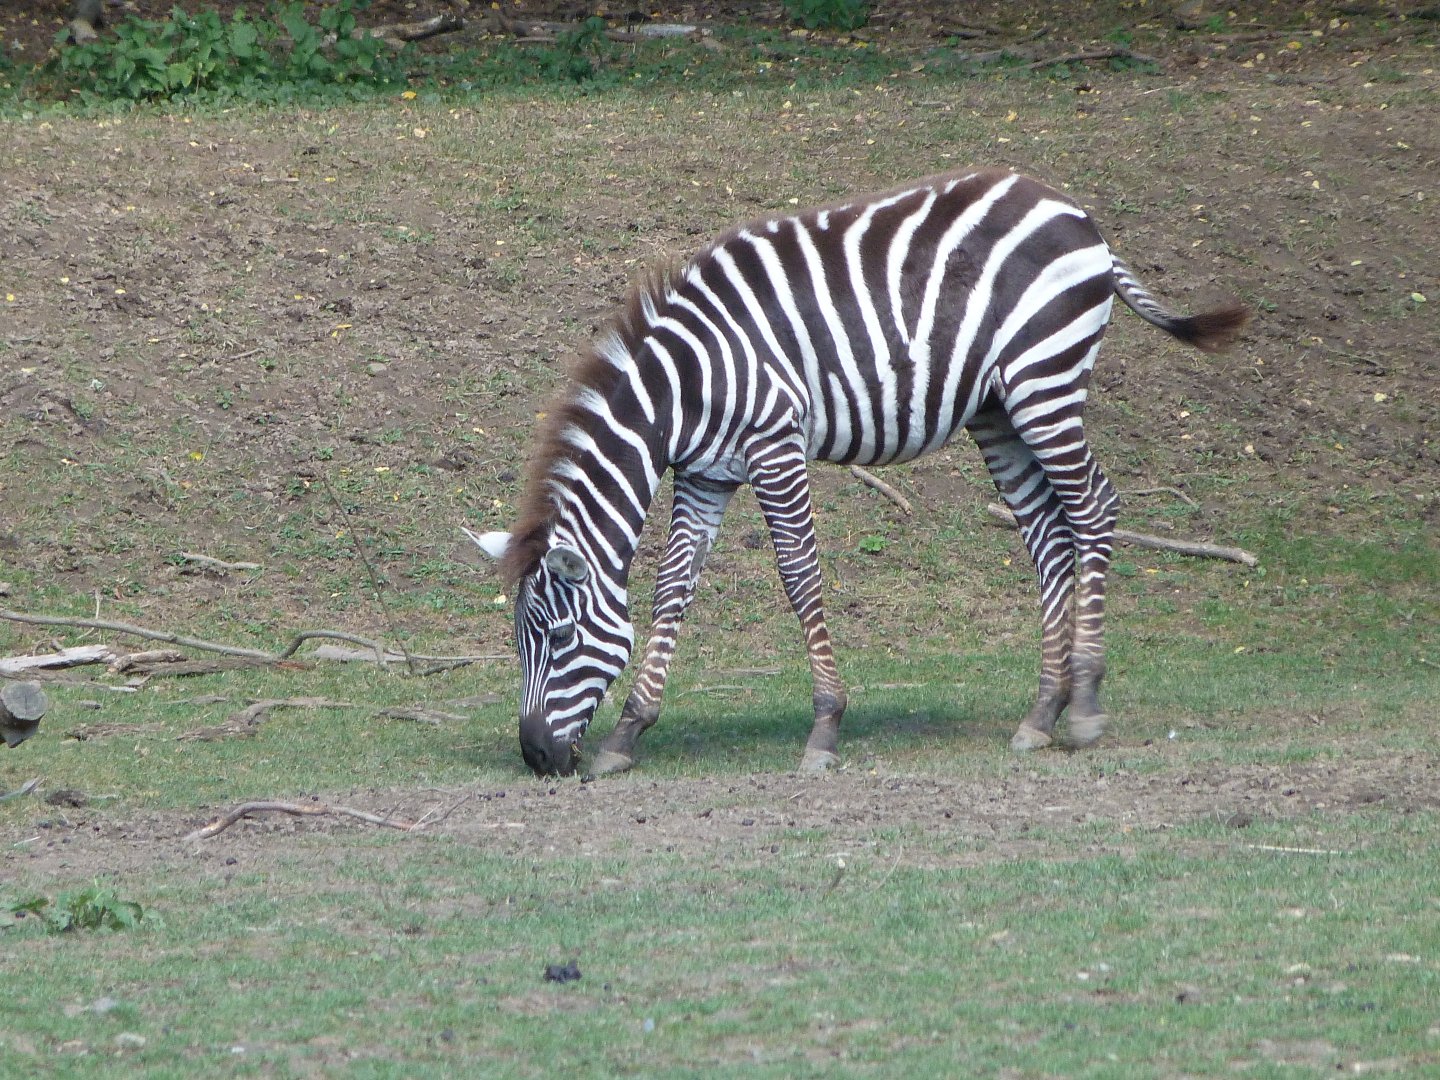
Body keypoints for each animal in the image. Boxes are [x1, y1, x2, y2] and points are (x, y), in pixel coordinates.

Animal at [467, 167, 1247, 777]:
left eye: (558, 639)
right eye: (519, 643)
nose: (535, 757)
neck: (684, 387)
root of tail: (1071, 208)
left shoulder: (774, 447)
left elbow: (799, 578)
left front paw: (825, 728)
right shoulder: (706, 473)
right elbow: (672, 591)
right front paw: (628, 734)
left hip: (1044, 378)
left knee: (1094, 509)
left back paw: (1083, 705)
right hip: (998, 408)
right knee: (1047, 534)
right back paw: (1041, 713)